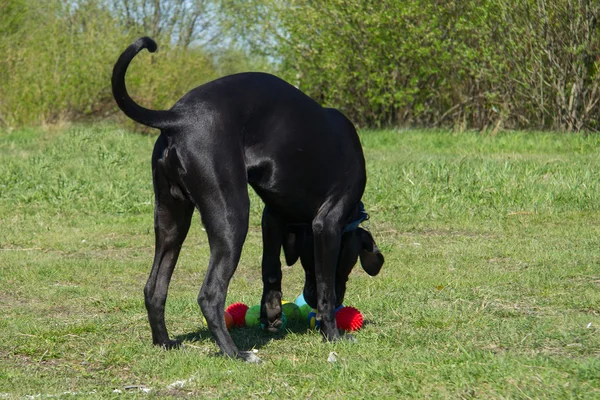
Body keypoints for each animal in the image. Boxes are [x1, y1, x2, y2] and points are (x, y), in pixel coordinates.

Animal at [112, 37, 384, 362]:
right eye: (349, 264)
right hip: (232, 218)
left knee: (154, 288)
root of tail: (178, 118)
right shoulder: (327, 224)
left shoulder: (273, 217)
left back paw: (165, 342)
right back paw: (235, 353)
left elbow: (271, 268)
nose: (308, 298)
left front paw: (272, 312)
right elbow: (326, 288)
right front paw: (331, 333)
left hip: (171, 220)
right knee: (210, 295)